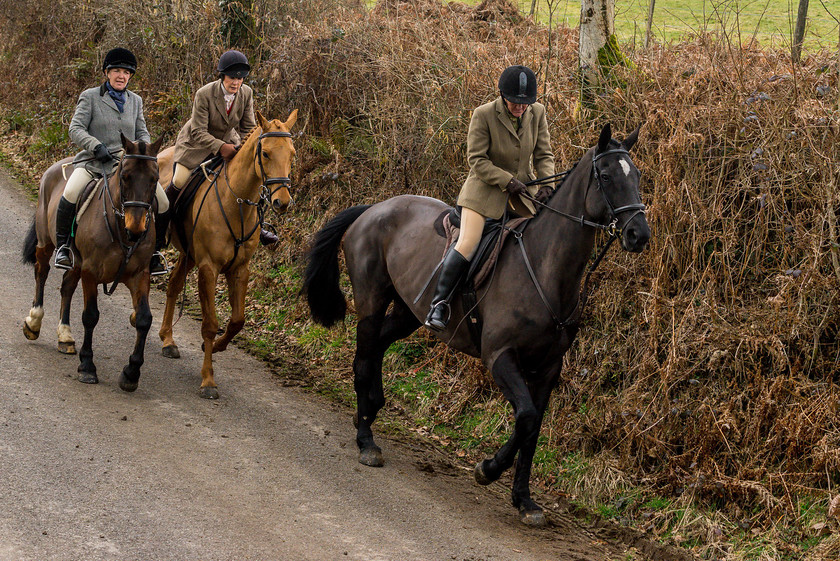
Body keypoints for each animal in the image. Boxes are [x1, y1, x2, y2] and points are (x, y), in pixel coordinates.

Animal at [22, 135, 164, 390]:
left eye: (155, 178)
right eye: (125, 176)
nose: (136, 229)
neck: (121, 230)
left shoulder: (140, 274)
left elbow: (144, 319)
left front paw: (131, 373)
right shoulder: (91, 272)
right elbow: (90, 315)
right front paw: (87, 366)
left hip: (76, 262)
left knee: (67, 287)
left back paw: (65, 336)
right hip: (45, 242)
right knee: (41, 272)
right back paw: (34, 322)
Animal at [156, 110, 296, 398]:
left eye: (292, 153)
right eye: (266, 153)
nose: (282, 203)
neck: (237, 202)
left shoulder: (240, 269)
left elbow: (237, 321)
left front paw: (217, 347)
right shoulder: (209, 268)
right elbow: (210, 323)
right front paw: (208, 380)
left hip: (189, 254)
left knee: (174, 285)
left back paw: (168, 340)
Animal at [306, 123, 652, 524]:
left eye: (637, 176)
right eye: (607, 176)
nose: (639, 235)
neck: (546, 268)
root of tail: (375, 208)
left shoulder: (549, 369)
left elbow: (533, 429)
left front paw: (525, 500)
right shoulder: (499, 356)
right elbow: (526, 417)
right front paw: (488, 469)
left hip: (409, 312)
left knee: (378, 345)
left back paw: (372, 409)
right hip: (371, 302)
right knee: (363, 358)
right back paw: (366, 442)